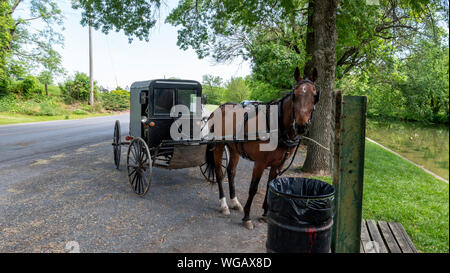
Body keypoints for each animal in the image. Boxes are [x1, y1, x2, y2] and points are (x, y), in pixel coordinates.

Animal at [204, 67, 320, 228]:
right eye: (294, 95)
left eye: (315, 96)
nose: (301, 126)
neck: (276, 126)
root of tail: (219, 108)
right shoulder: (260, 163)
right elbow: (253, 188)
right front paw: (247, 217)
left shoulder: (278, 164)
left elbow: (270, 185)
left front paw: (265, 213)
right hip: (218, 146)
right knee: (220, 174)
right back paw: (224, 204)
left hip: (234, 148)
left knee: (231, 172)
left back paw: (234, 202)